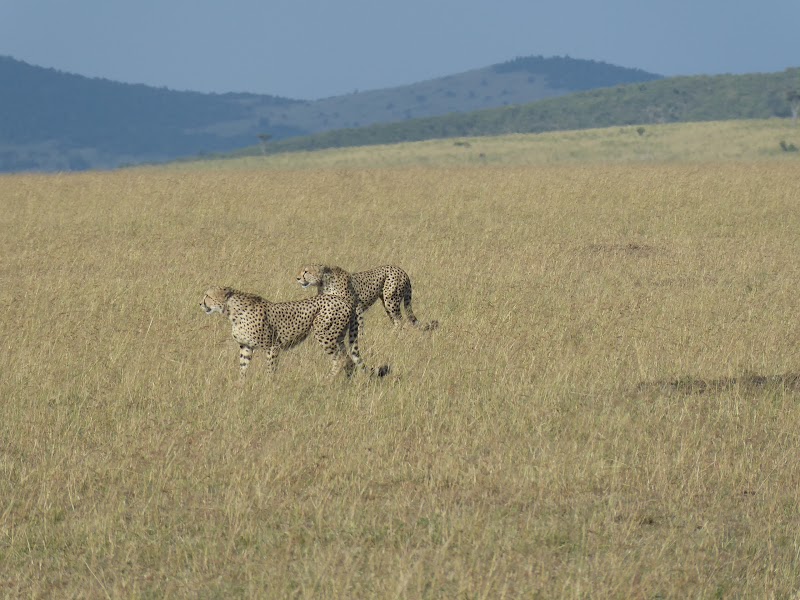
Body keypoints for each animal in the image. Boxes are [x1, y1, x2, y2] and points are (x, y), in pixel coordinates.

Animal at [200, 286, 388, 380]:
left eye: (207, 296)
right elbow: (243, 368)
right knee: (349, 360)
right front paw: (241, 386)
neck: (232, 311)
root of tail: (344, 300)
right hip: (337, 337)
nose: (200, 304)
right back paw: (344, 384)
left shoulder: (272, 346)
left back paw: (327, 381)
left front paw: (269, 386)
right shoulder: (246, 347)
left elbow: (271, 369)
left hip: (325, 336)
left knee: (341, 359)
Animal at [296, 264, 440, 332]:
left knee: (400, 321)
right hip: (387, 302)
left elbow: (359, 326)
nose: (297, 278)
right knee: (396, 320)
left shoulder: (357, 307)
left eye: (306, 271)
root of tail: (401, 270)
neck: (323, 282)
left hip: (391, 300)